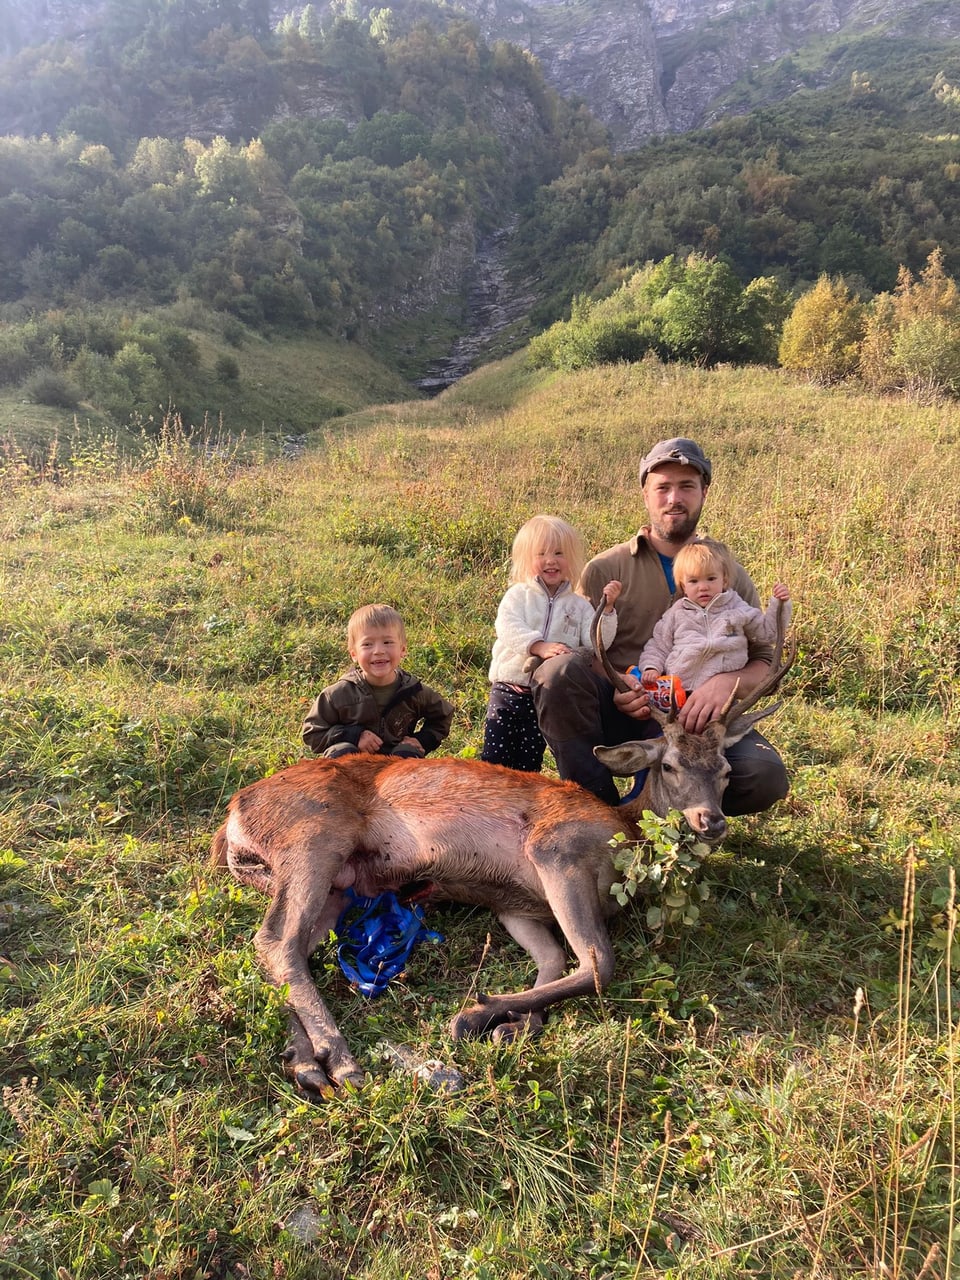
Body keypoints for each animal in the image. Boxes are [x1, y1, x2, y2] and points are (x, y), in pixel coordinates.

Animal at [209, 604, 798, 1095]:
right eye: (671, 765)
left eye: (724, 772)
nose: (711, 821)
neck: (624, 834)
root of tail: (233, 815)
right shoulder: (555, 848)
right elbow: (599, 963)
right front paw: (476, 1013)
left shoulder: (516, 906)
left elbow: (556, 960)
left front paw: (514, 1024)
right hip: (312, 837)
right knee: (276, 940)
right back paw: (343, 1061)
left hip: (340, 883)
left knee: (285, 950)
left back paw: (306, 1062)